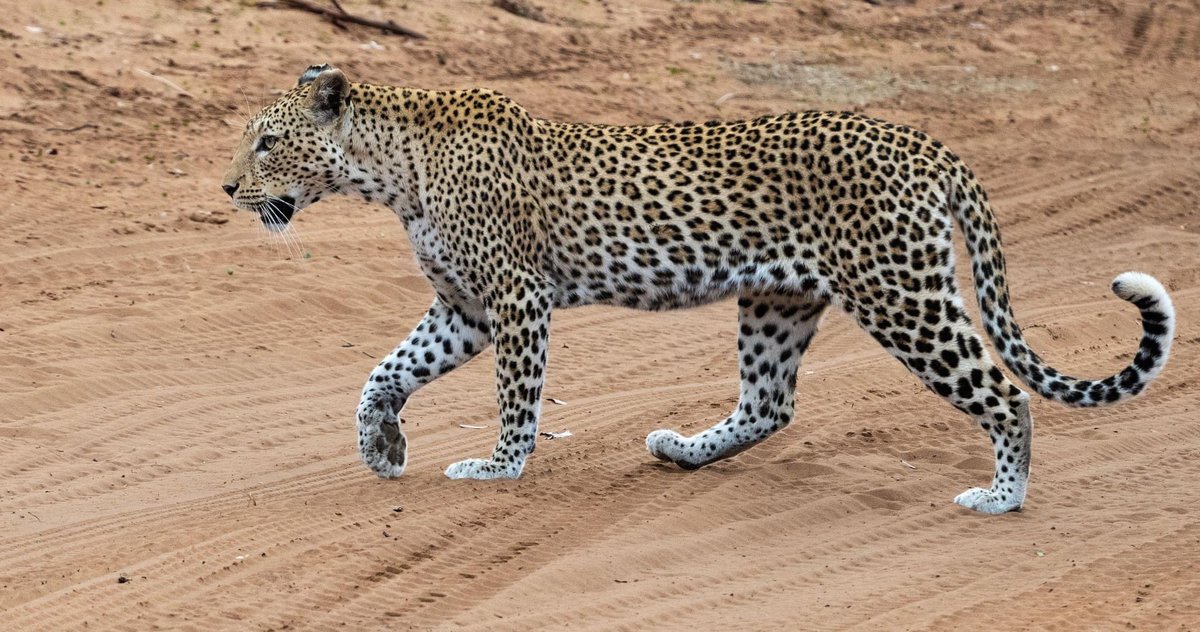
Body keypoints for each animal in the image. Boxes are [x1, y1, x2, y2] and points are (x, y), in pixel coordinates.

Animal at [221, 65, 1175, 514]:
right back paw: (682, 448)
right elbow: (384, 372)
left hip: (902, 295)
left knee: (1004, 394)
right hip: (778, 301)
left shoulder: (516, 300)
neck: (390, 172)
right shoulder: (463, 308)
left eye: (266, 141)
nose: (227, 188)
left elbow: (515, 399)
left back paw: (1000, 497)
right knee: (770, 404)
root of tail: (924, 142)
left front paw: (497, 468)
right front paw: (381, 447)